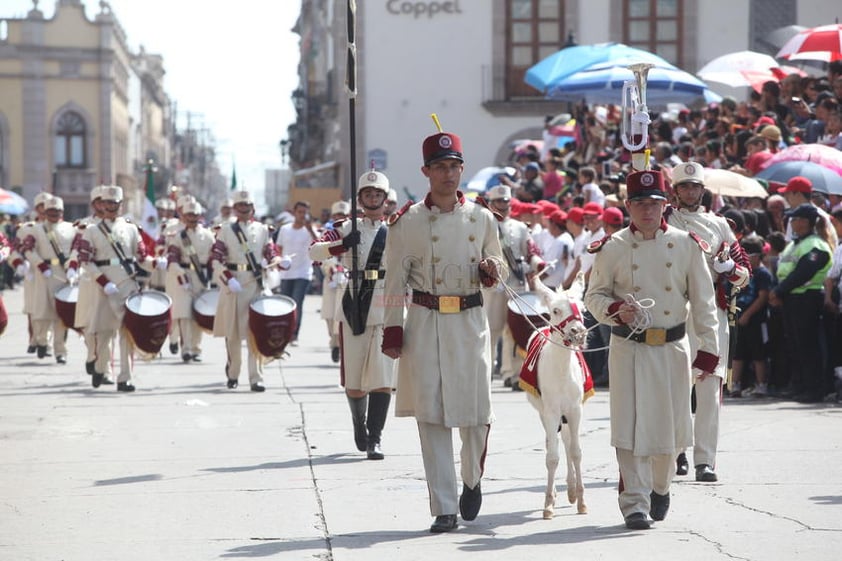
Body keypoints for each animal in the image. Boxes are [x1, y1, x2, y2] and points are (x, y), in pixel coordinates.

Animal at [516, 276, 588, 520]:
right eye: (556, 310)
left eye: (582, 309)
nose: (579, 332)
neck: (562, 372)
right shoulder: (551, 411)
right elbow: (552, 457)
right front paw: (548, 504)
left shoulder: (575, 410)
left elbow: (576, 452)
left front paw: (581, 501)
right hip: (544, 412)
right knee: (553, 444)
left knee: (566, 441)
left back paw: (572, 491)